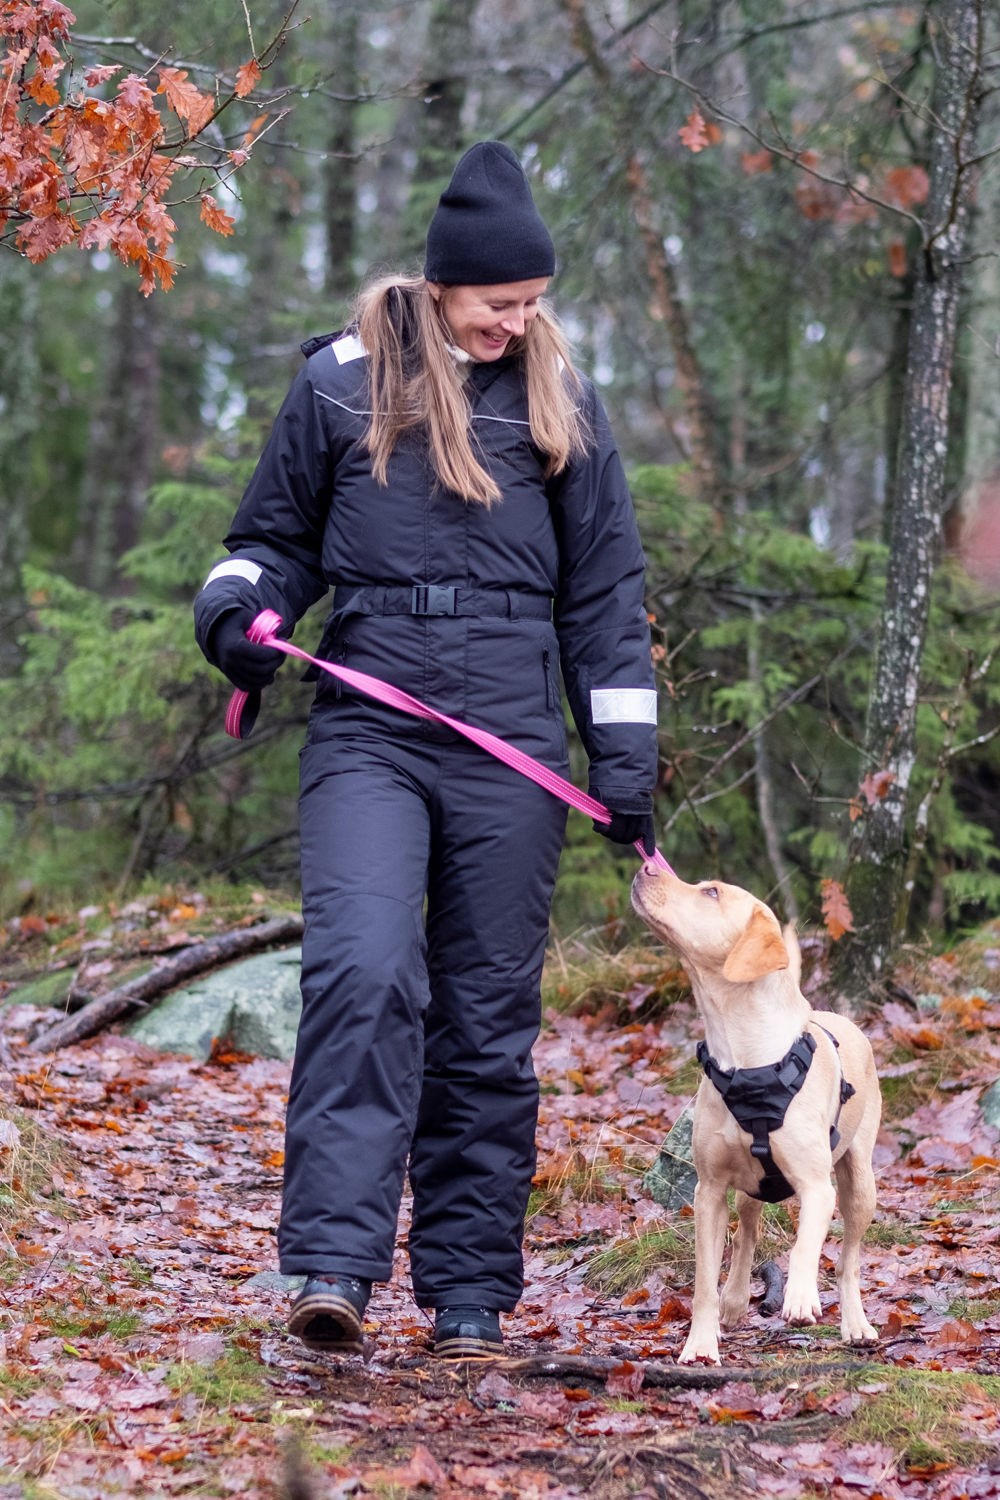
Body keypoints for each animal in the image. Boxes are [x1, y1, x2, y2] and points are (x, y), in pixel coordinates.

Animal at [632, 864, 881, 1368]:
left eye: (711, 893)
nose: (647, 865)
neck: (745, 1061)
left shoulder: (817, 1186)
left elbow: (807, 1244)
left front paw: (801, 1297)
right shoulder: (708, 1192)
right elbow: (705, 1279)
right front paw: (700, 1343)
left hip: (859, 1182)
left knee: (848, 1259)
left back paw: (855, 1323)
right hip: (749, 1186)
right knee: (746, 1230)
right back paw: (734, 1298)